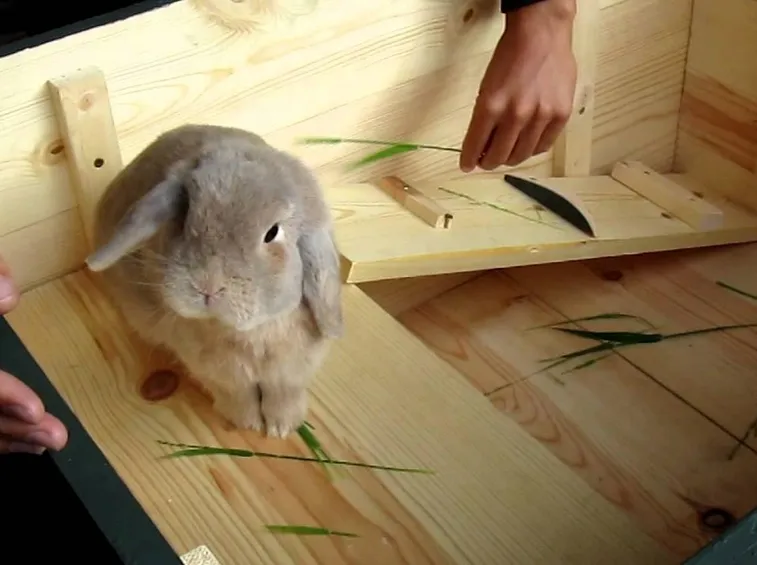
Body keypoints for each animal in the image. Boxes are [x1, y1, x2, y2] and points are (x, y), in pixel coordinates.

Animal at [85, 124, 343, 438]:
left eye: (272, 233)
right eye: (185, 214)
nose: (207, 286)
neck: (251, 333)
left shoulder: (291, 370)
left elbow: (284, 394)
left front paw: (281, 428)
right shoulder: (214, 369)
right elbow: (236, 394)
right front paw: (247, 422)